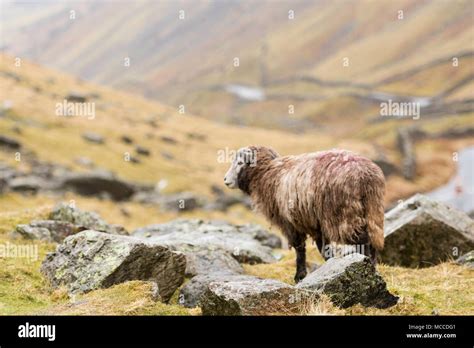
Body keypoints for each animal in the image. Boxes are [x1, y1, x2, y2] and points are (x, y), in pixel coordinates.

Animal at [223, 145, 386, 284]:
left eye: (239, 162)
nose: (225, 180)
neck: (267, 173)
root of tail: (366, 175)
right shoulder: (316, 223)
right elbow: (323, 248)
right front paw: (328, 265)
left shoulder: (290, 223)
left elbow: (299, 249)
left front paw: (299, 276)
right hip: (373, 212)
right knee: (372, 242)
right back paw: (373, 268)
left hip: (344, 215)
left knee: (362, 241)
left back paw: (366, 266)